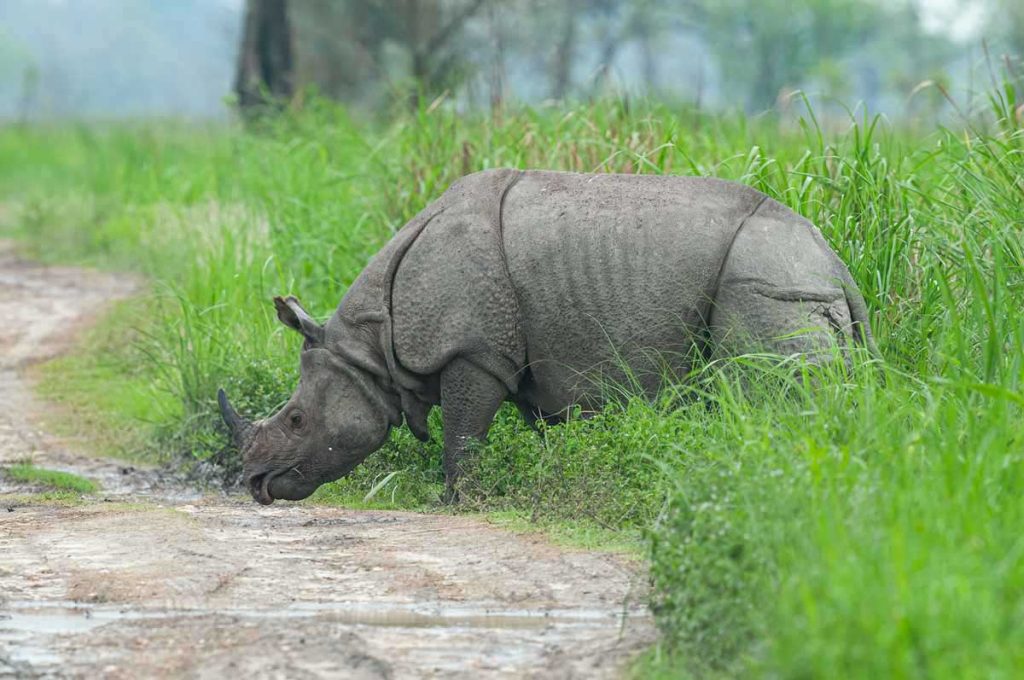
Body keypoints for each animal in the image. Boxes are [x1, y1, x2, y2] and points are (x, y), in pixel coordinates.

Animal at [218, 169, 877, 504]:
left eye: (297, 419)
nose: (254, 485)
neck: (370, 347)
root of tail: (834, 262)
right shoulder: (541, 365)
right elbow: (544, 435)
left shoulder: (475, 350)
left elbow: (464, 434)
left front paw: (456, 502)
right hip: (795, 282)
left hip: (768, 283)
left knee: (765, 392)